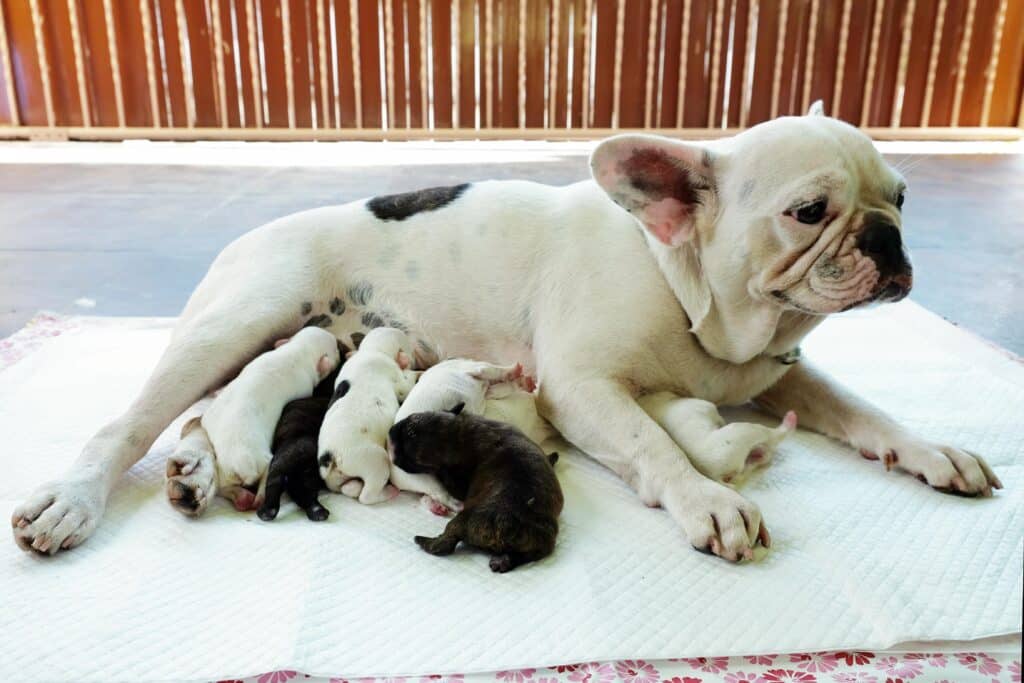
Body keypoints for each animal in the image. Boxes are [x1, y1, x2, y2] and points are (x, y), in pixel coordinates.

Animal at [199, 327, 339, 511]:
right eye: (336, 349)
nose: (339, 345)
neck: (297, 350)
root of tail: (240, 462)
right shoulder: (305, 387)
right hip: (263, 460)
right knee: (268, 473)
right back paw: (259, 498)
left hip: (221, 465)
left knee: (221, 486)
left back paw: (241, 498)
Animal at [317, 327, 417, 505]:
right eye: (409, 349)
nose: (415, 359)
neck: (372, 349)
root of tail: (330, 456)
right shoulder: (397, 378)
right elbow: (406, 383)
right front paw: (416, 371)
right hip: (375, 460)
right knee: (366, 496)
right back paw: (388, 492)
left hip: (336, 479)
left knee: (348, 488)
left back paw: (353, 486)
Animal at [387, 405, 565, 573]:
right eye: (411, 419)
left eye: (410, 431)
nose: (391, 431)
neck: (459, 435)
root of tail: (506, 523)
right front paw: (552, 457)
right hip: (541, 543)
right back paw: (503, 560)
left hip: (465, 521)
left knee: (446, 542)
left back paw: (424, 540)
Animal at [638, 393, 798, 483]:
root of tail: (719, 476)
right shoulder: (706, 406)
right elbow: (718, 416)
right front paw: (721, 421)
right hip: (746, 431)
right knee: (774, 435)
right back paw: (789, 420)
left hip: (745, 463)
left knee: (759, 458)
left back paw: (760, 453)